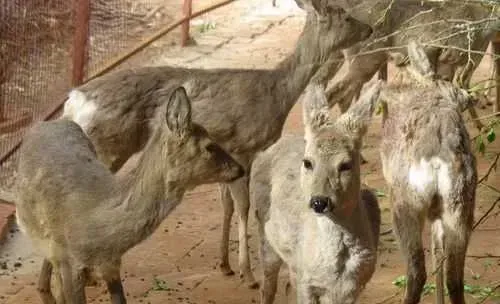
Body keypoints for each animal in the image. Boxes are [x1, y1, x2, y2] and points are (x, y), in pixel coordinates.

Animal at [60, 0, 374, 288]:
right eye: (346, 16)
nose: (370, 29)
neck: (276, 94)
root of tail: (73, 101)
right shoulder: (243, 147)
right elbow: (244, 206)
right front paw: (248, 274)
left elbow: (227, 205)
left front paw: (225, 264)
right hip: (108, 146)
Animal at [250, 81, 382, 304]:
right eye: (308, 162)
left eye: (346, 164)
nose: (319, 202)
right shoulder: (307, 281)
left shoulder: (354, 287)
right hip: (264, 230)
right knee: (267, 285)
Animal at [378, 41, 476, 304]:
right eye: (445, 77)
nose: (469, 96)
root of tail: (437, 156)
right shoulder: (439, 213)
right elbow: (437, 249)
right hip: (460, 206)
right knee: (454, 277)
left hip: (405, 207)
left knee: (416, 272)